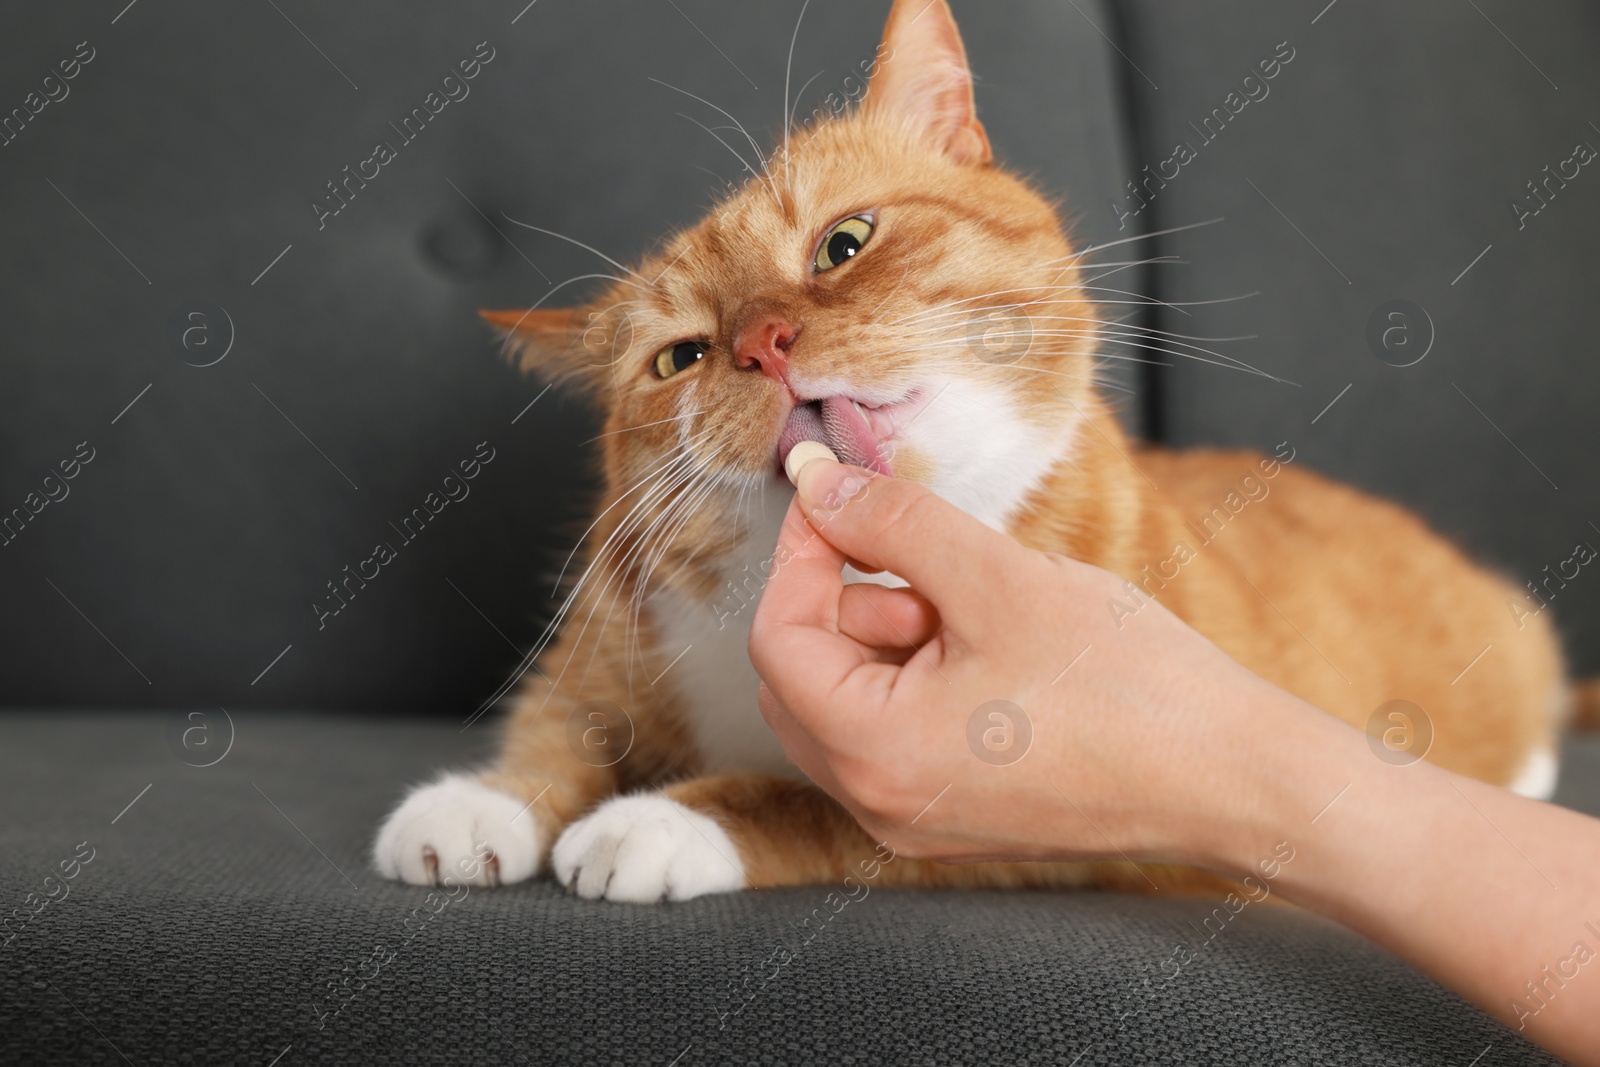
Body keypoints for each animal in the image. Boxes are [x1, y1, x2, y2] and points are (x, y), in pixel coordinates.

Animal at [371, 0, 1574, 902]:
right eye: (681, 356)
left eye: (843, 244)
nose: (762, 344)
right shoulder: (616, 626)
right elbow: (559, 723)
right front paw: (479, 800)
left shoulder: (1060, 827)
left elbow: (809, 800)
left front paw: (661, 822)